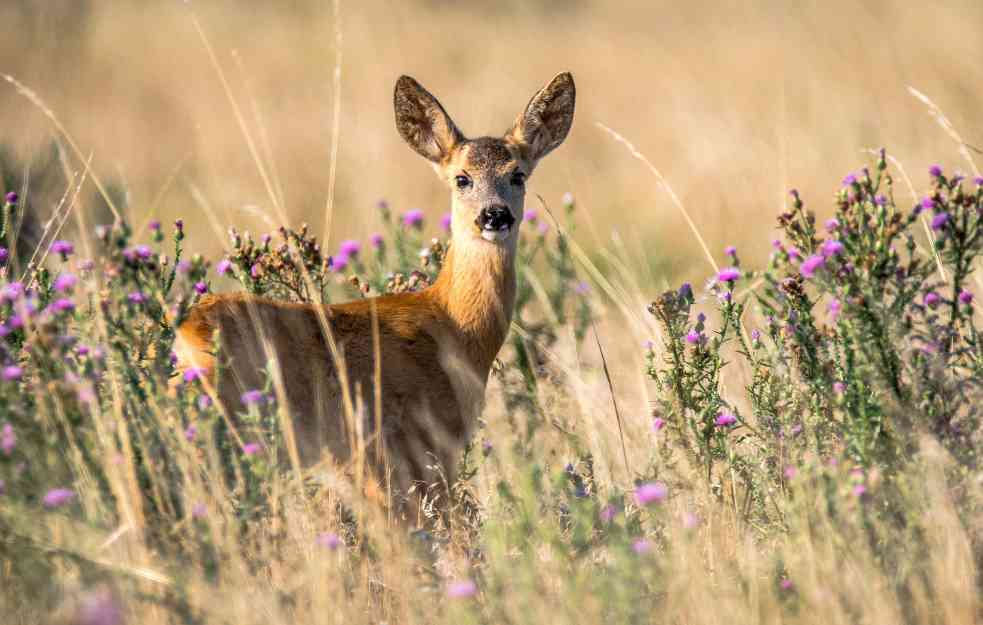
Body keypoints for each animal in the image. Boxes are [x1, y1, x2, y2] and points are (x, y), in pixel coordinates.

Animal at [175, 72, 576, 520]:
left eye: (518, 174)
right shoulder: (413, 448)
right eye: (462, 178)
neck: (455, 327)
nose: (494, 215)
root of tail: (186, 334)